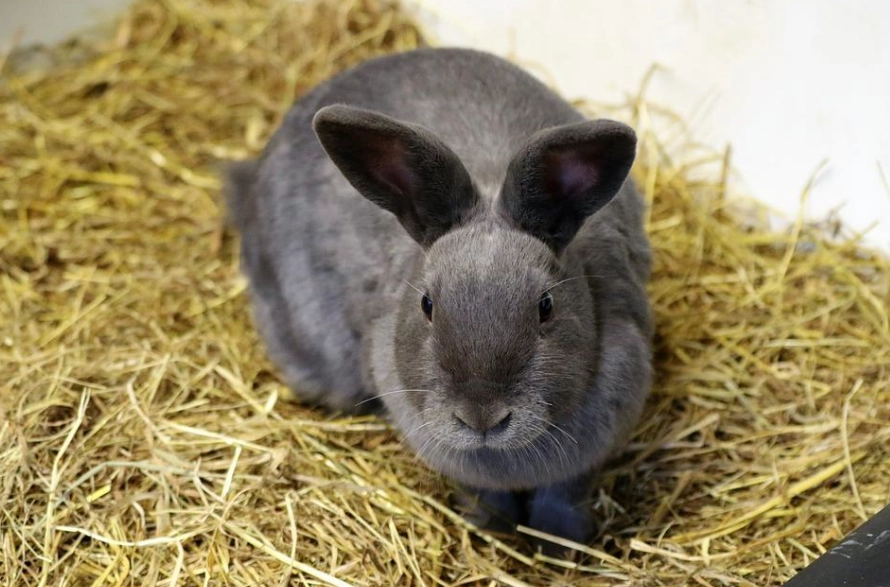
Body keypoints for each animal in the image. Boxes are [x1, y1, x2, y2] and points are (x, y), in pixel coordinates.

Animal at [225, 48, 653, 549]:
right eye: (426, 305)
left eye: (546, 307)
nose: (481, 417)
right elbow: (483, 493)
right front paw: (490, 529)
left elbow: (562, 495)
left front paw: (562, 545)